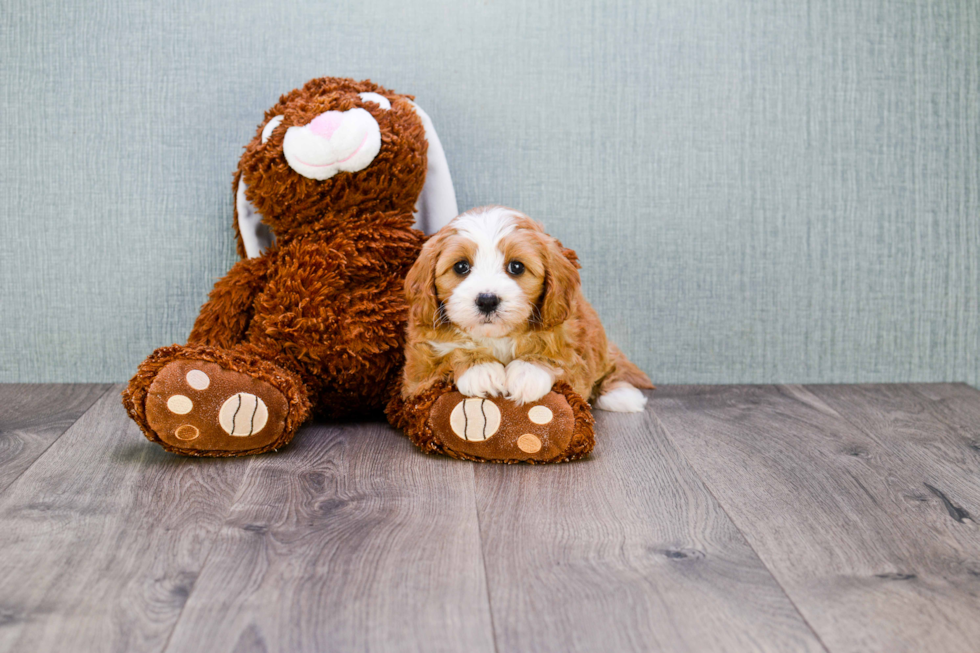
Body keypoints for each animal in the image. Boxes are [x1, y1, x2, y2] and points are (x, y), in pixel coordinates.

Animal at [402, 204, 656, 410]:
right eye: (461, 266)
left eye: (516, 267)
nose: (487, 300)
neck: (496, 337)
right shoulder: (417, 367)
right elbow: (444, 355)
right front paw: (480, 368)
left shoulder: (573, 337)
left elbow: (561, 357)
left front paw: (528, 372)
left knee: (611, 363)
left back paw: (621, 394)